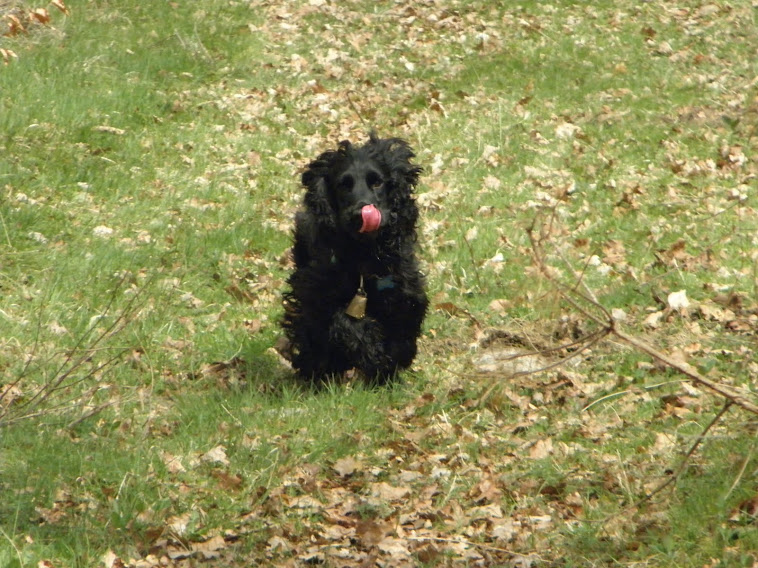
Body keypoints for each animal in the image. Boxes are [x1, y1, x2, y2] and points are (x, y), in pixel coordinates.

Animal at [284, 132, 430, 386]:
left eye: (377, 182)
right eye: (343, 185)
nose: (361, 214)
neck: (363, 252)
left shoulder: (402, 285)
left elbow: (404, 324)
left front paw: (393, 361)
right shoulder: (318, 292)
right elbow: (347, 326)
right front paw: (372, 353)